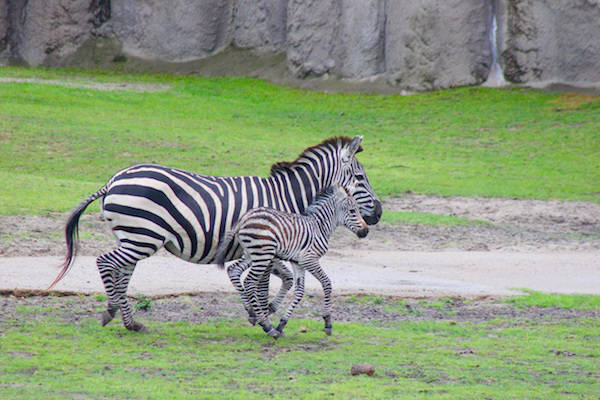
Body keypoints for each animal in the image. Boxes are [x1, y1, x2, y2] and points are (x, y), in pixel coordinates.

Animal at [213, 185, 368, 338]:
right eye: (352, 211)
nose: (366, 231)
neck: (319, 227)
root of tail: (244, 218)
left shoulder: (298, 262)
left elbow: (299, 292)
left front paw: (282, 324)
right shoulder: (309, 259)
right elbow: (327, 283)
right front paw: (327, 322)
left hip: (252, 254)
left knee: (234, 270)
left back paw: (251, 312)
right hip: (263, 254)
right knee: (250, 282)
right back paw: (267, 325)